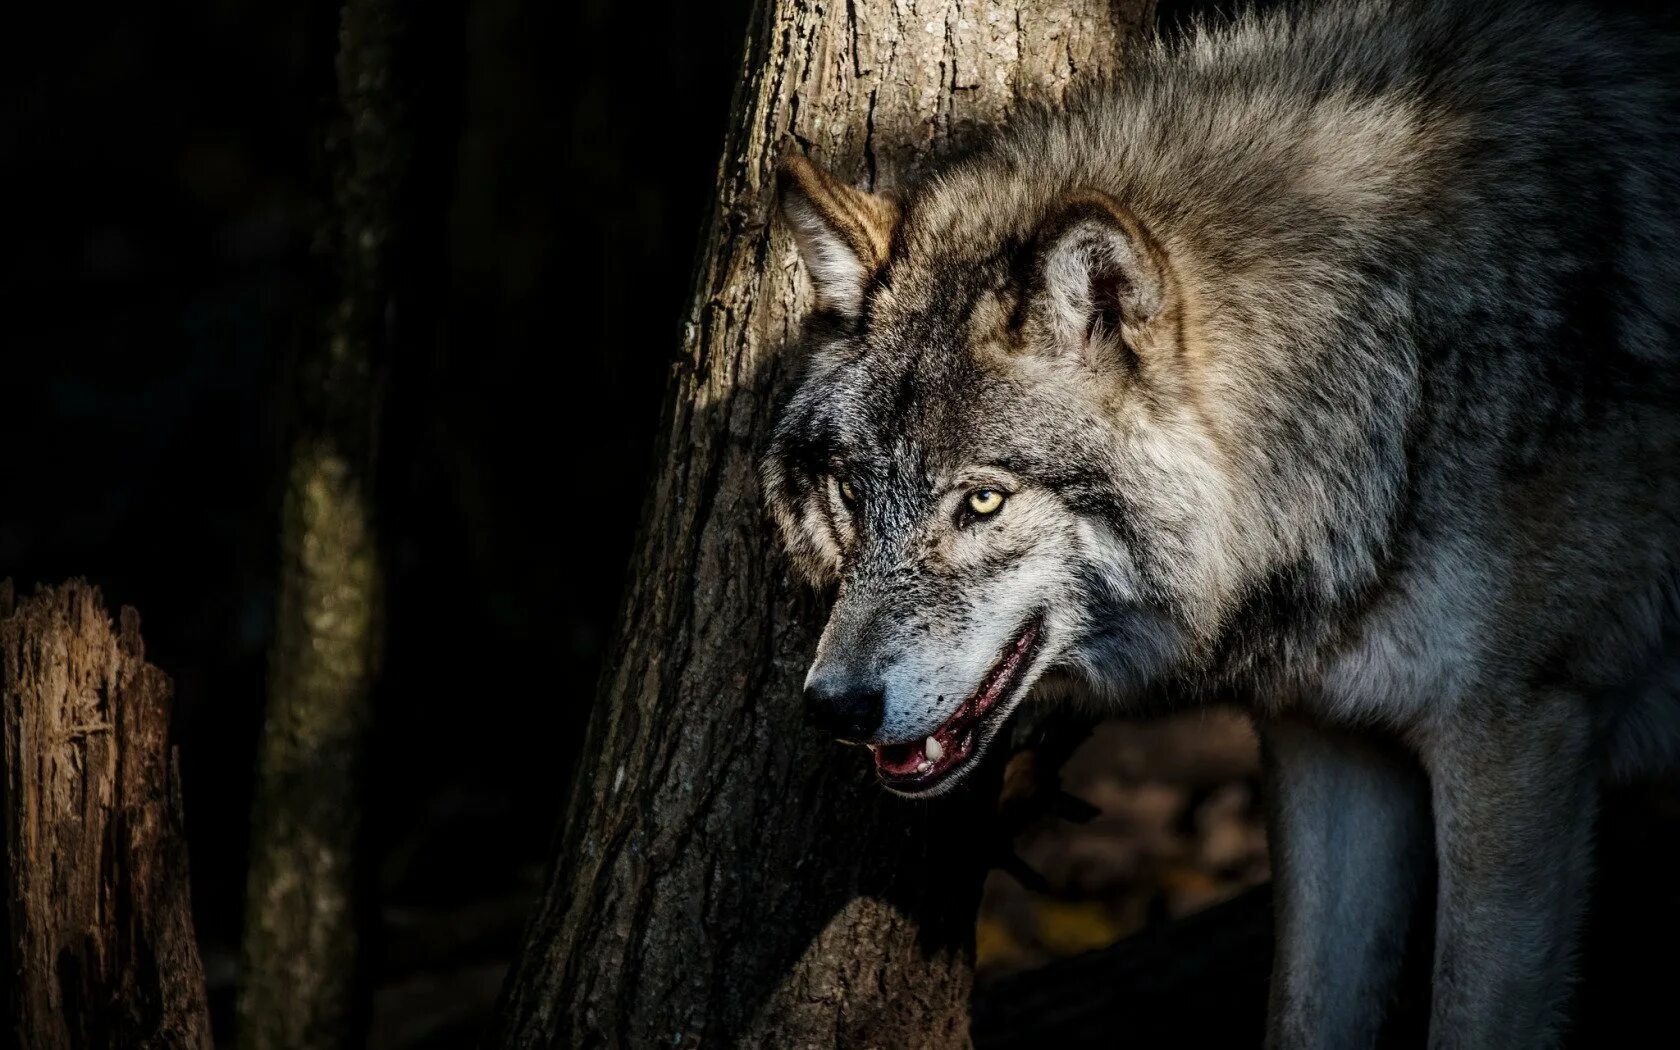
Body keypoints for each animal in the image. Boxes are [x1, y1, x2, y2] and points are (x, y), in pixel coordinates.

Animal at [759, 2, 1680, 1041]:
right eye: (850, 491)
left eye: (982, 501)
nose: (834, 707)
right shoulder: (1331, 741)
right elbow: (1309, 1009)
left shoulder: (1519, 736)